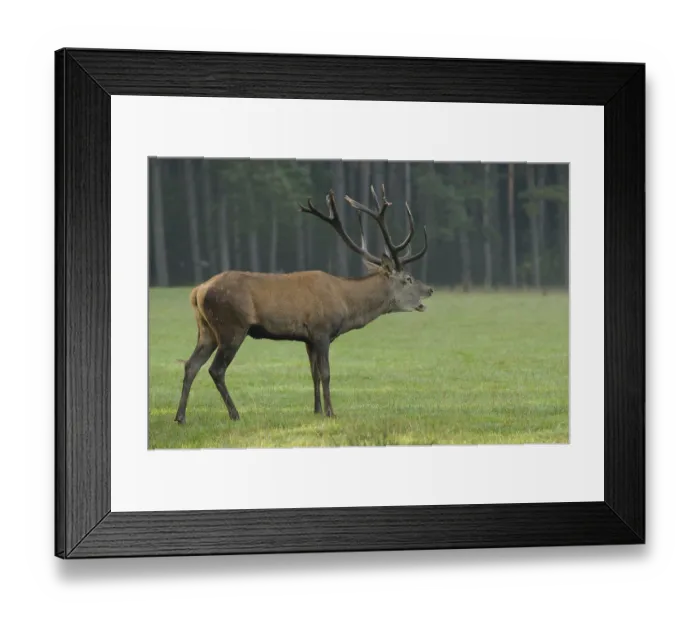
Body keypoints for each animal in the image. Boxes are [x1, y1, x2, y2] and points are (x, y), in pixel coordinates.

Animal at [174, 184, 433, 424]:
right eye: (408, 279)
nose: (430, 289)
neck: (346, 303)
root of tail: (198, 291)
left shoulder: (307, 339)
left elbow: (313, 374)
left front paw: (316, 410)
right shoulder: (322, 331)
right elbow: (326, 373)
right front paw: (331, 412)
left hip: (206, 329)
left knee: (191, 365)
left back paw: (180, 416)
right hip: (231, 326)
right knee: (215, 369)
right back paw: (234, 414)